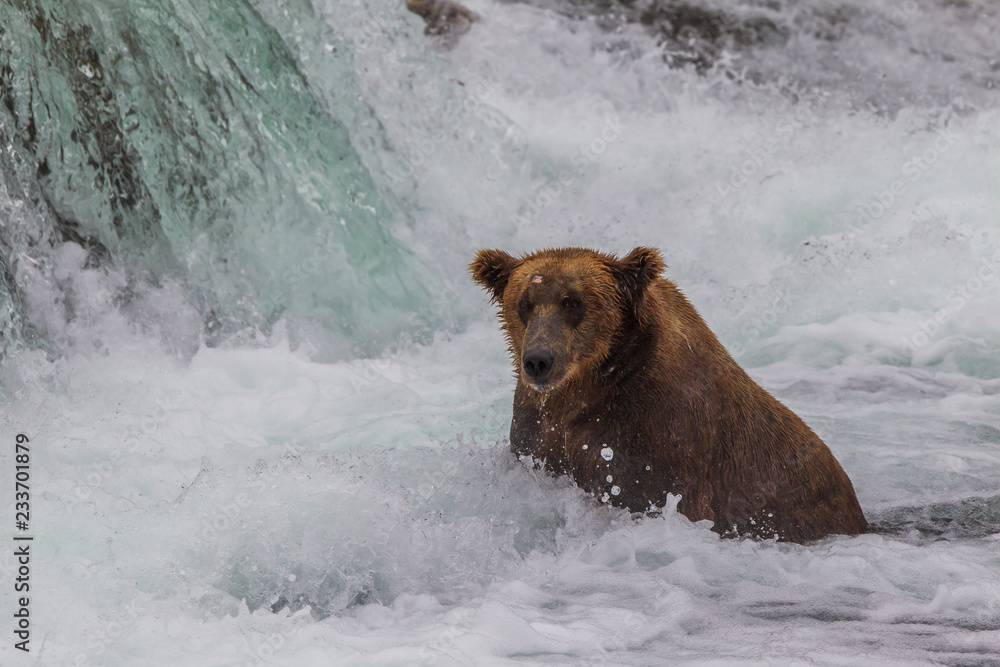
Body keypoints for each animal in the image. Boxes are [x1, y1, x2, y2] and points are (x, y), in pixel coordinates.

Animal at [470, 246, 867, 543]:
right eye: (525, 302)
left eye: (573, 302)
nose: (539, 360)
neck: (591, 387)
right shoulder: (538, 432)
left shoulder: (658, 436)